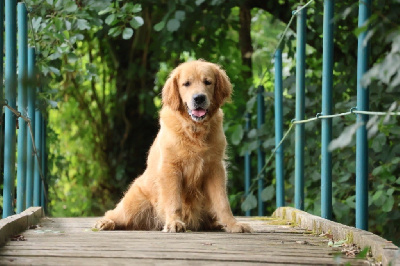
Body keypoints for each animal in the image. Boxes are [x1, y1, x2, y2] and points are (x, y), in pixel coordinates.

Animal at [94, 59, 250, 233]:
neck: (194, 131)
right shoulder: (171, 168)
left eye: (208, 82)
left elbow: (222, 202)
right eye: (186, 84)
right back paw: (105, 222)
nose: (199, 98)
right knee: (115, 213)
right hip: (132, 204)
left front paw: (233, 224)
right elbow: (174, 201)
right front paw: (175, 222)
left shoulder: (215, 168)